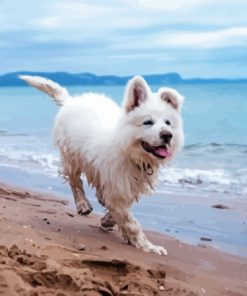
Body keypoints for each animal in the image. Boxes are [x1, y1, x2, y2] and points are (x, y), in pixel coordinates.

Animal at [19, 75, 183, 256]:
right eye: (147, 122)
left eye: (168, 123)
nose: (167, 135)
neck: (129, 150)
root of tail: (71, 101)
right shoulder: (116, 185)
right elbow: (131, 222)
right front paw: (149, 246)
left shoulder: (123, 185)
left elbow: (119, 210)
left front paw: (108, 220)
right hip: (71, 156)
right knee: (75, 182)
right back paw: (83, 204)